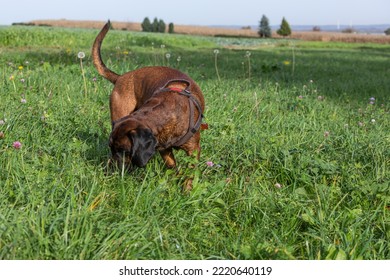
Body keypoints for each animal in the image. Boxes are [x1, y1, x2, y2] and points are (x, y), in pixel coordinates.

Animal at [92, 21, 206, 168]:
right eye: (111, 147)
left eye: (124, 151)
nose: (114, 166)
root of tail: (121, 77)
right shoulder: (164, 149)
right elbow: (172, 165)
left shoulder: (193, 150)